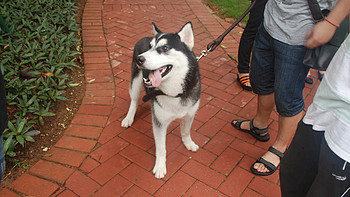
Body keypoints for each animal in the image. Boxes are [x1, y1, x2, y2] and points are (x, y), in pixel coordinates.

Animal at [121, 22, 201, 179]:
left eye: (164, 48)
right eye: (150, 47)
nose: (139, 59)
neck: (175, 93)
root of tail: (144, 37)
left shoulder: (189, 114)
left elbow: (186, 131)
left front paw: (188, 143)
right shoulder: (159, 123)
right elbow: (161, 148)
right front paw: (160, 166)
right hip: (136, 82)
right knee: (134, 101)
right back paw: (129, 117)